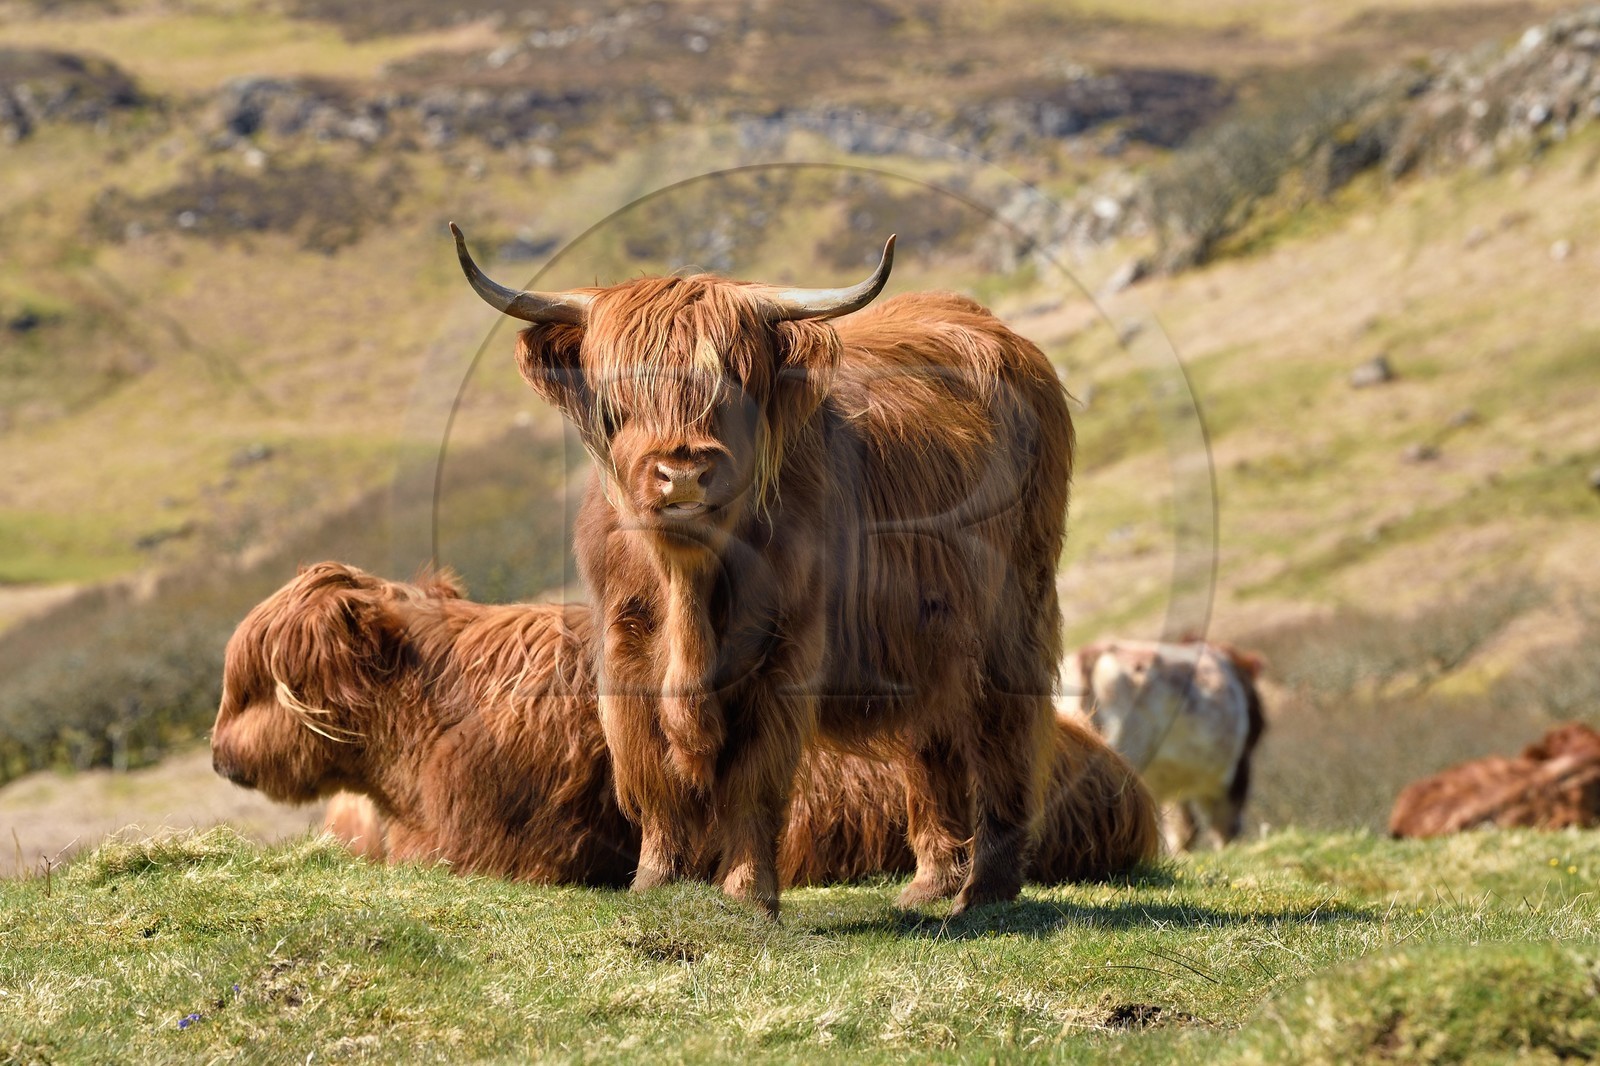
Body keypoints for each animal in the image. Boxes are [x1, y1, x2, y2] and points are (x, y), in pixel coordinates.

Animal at [452, 226, 1075, 916]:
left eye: (734, 389)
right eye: (619, 396)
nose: (683, 472)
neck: (688, 583)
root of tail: (994, 329)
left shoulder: (783, 649)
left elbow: (753, 778)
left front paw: (749, 894)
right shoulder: (623, 645)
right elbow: (649, 770)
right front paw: (655, 881)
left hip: (1014, 611)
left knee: (1002, 728)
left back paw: (986, 889)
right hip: (924, 632)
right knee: (930, 734)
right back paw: (930, 884)